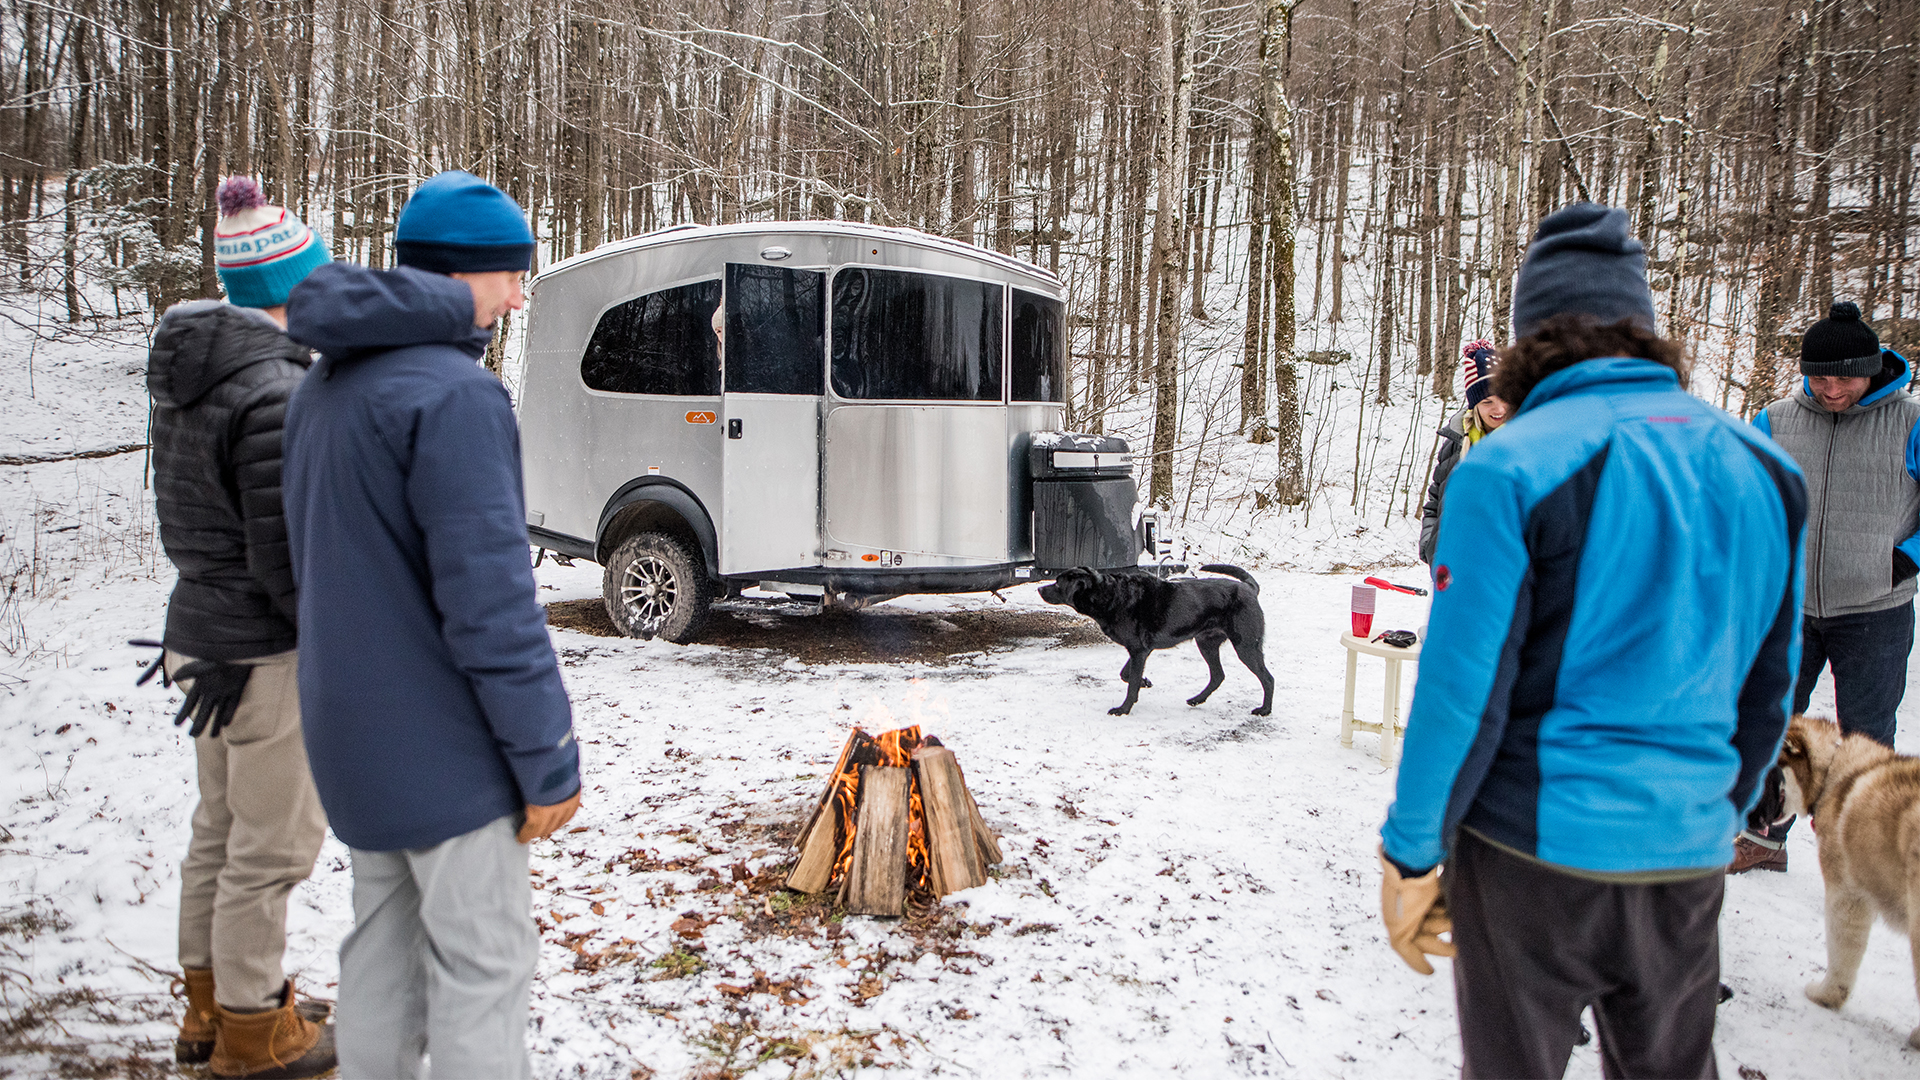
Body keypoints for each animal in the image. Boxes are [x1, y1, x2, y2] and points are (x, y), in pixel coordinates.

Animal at [1044, 564, 1267, 714]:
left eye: (1058, 583)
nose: (1039, 589)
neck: (1112, 595)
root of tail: (1249, 588)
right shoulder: (1139, 650)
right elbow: (1126, 674)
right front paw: (1145, 682)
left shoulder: (1139, 650)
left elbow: (1131, 683)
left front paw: (1123, 709)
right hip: (1206, 643)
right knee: (1218, 675)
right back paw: (1197, 700)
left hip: (1246, 646)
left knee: (1267, 678)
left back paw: (1264, 710)